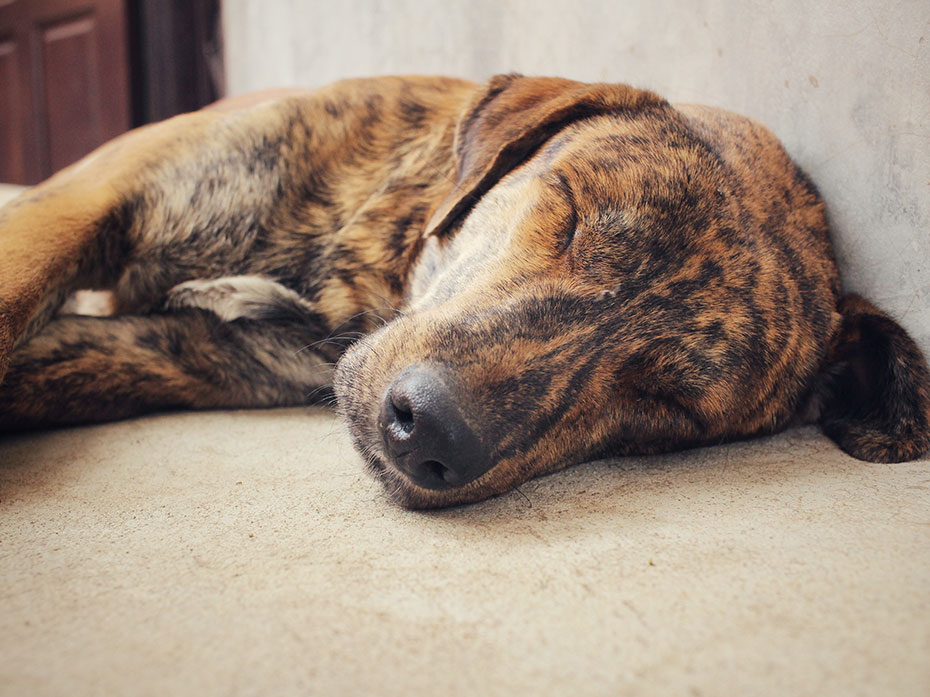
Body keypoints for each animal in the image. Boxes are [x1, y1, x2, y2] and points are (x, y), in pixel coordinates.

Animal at [0, 75, 924, 506]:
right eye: (570, 214)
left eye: (668, 402)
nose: (427, 433)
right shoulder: (94, 197)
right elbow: (19, 291)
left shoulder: (187, 352)